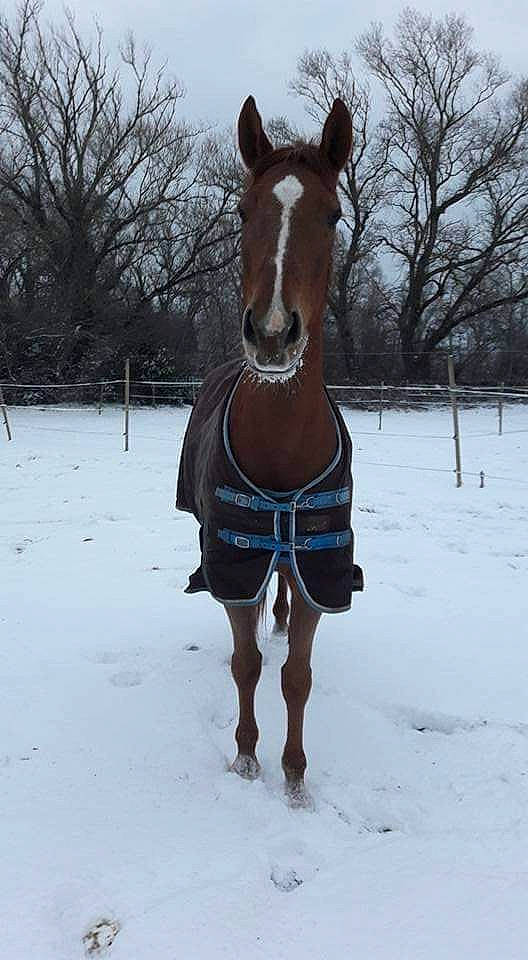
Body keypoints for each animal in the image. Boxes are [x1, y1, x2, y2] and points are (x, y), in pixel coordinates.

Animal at [176, 95, 363, 806]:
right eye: (242, 210)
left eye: (333, 214)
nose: (274, 334)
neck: (283, 445)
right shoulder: (234, 562)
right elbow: (247, 663)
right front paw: (247, 756)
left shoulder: (319, 569)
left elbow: (296, 675)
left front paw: (296, 775)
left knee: (282, 590)